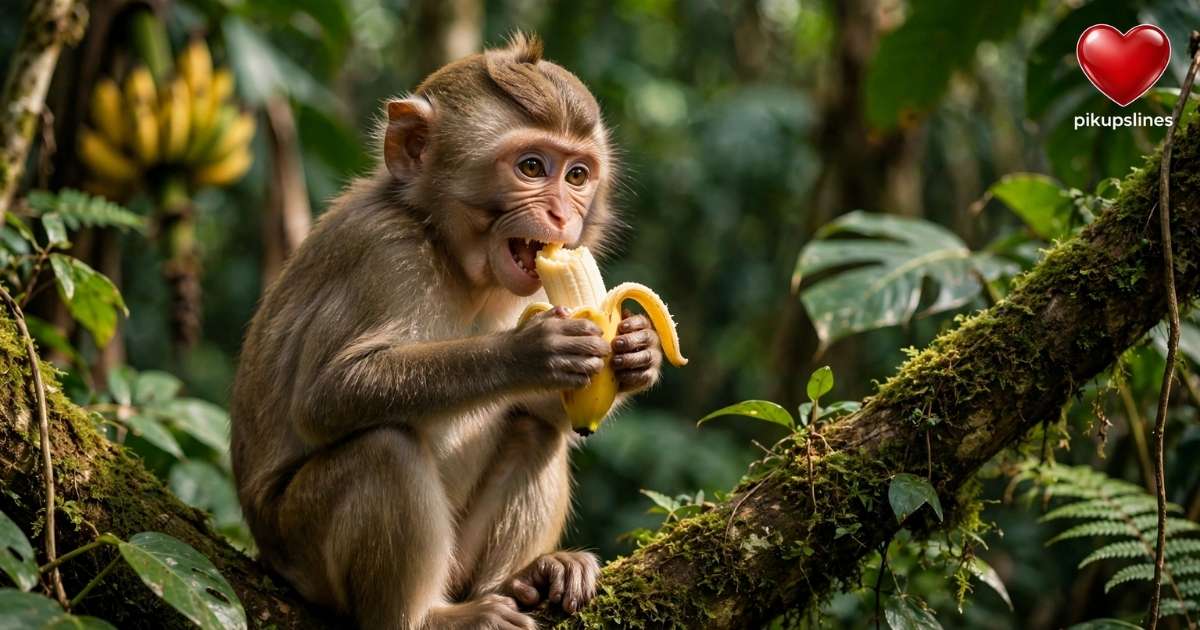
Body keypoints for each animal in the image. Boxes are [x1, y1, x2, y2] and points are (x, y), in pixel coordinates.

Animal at [229, 34, 665, 630]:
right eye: (532, 167)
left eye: (577, 176)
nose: (561, 216)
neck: (457, 258)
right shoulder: (385, 251)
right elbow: (325, 396)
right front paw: (530, 353)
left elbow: (549, 410)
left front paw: (637, 355)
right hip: (302, 549)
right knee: (384, 448)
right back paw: (430, 617)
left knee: (536, 432)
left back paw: (524, 578)